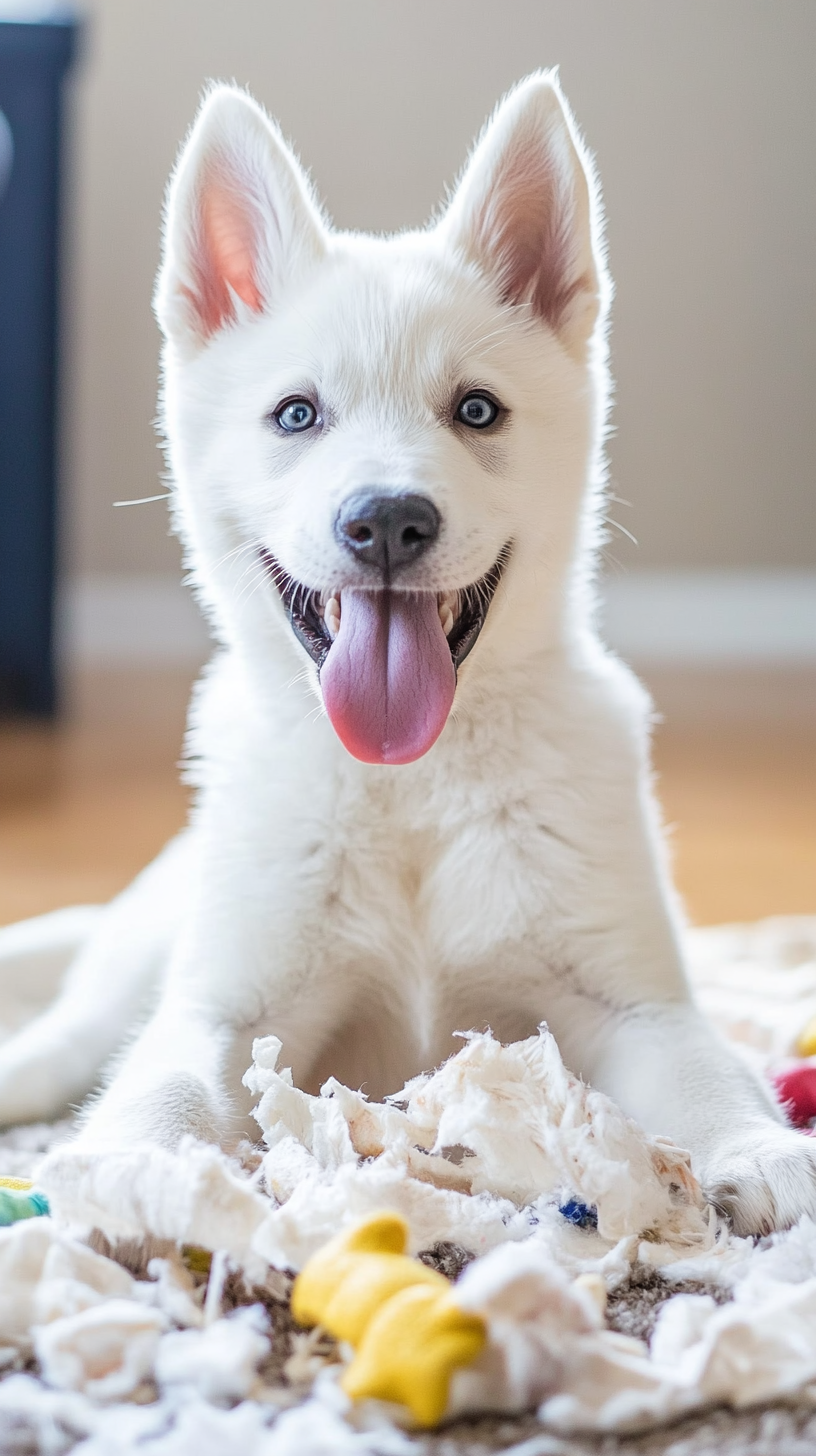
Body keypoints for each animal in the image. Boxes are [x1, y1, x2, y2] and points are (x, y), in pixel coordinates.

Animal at [1, 65, 816, 1228]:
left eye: (477, 410)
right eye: (297, 414)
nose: (387, 521)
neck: (414, 781)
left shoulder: (631, 1004)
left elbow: (706, 1067)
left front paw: (764, 1147)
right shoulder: (226, 1009)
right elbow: (163, 1077)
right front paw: (123, 1166)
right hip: (132, 966)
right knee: (63, 1042)